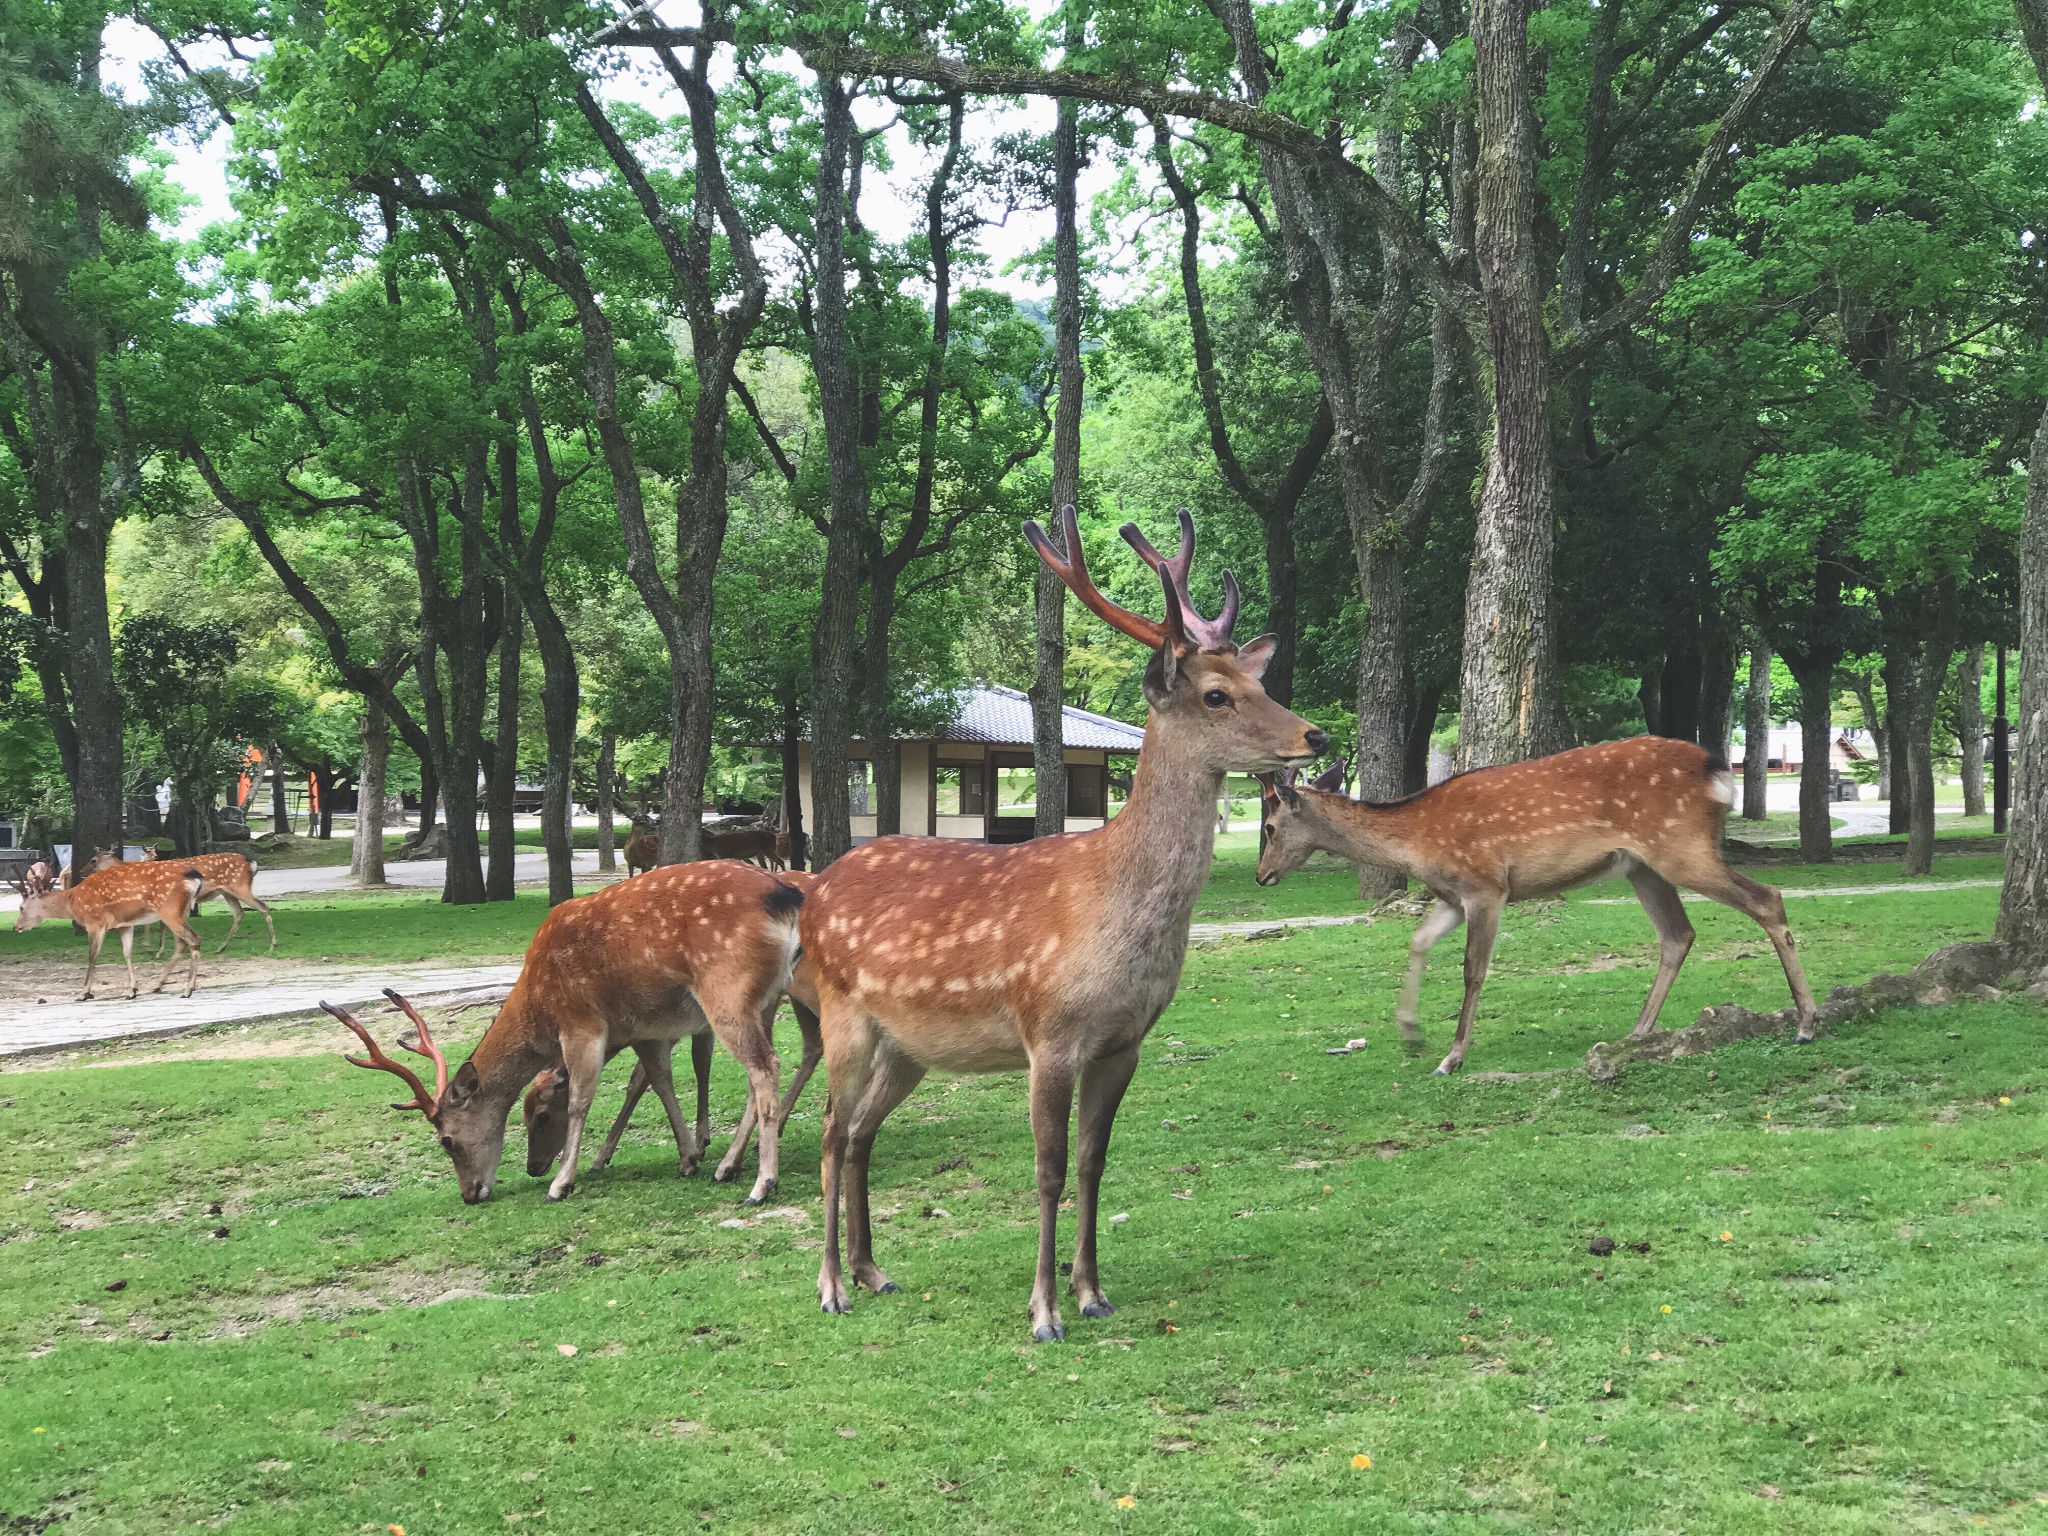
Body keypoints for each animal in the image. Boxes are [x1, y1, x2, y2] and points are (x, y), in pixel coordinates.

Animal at [14, 860, 207, 1003]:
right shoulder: (124, 925)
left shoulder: (95, 922)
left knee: (194, 938)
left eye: (21, 907)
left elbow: (92, 956)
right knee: (182, 942)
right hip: (180, 911)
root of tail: (195, 876)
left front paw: (84, 993)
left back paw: (187, 990)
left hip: (169, 910)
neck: (73, 902)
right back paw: (168, 985)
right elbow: (127, 953)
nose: (16, 927)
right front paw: (132, 991)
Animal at [323, 868, 802, 1204]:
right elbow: (660, 1083)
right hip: (766, 999)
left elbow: (580, 1100)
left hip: (726, 992)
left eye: (447, 1140)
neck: (539, 1006)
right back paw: (729, 1166)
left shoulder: (580, 1022)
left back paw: (762, 1183)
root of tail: (786, 898)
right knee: (759, 1072)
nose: (470, 1193)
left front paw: (562, 1183)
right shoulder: (644, 1028)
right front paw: (688, 1158)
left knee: (765, 1066)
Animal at [798, 507, 1327, 1343]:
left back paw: (873, 1271)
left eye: (1260, 681)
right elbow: (1047, 1171)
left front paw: (1092, 1292)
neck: (1117, 915)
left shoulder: (1124, 1041)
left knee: (858, 1136)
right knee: (826, 1132)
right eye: (1216, 695)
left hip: (909, 1045)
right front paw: (1044, 1310)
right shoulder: (1046, 1032)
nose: (1316, 736)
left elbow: (1092, 1161)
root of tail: (814, 890)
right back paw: (829, 1287)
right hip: (841, 1013)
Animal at [1253, 737, 1818, 1073]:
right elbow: (1416, 942)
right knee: (1678, 934)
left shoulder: (1485, 884)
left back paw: (1806, 1023)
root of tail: (1718, 771)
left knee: (1767, 899)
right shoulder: (1452, 896)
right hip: (1644, 866)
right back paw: (1637, 1033)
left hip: (1681, 847)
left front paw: (1452, 1057)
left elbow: (1473, 970)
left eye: (1271, 827)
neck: (1417, 842)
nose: (1262, 875)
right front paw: (1411, 1032)